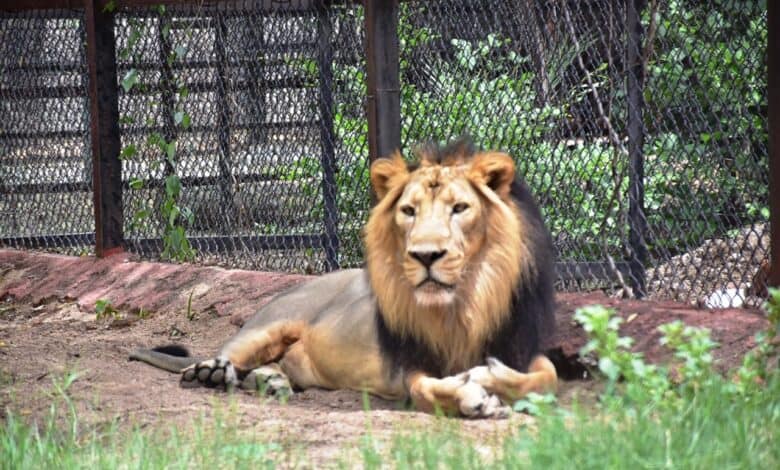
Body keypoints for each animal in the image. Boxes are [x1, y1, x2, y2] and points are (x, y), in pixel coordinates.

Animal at [130, 138, 557, 418]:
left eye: (460, 208)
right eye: (408, 211)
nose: (426, 255)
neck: (460, 306)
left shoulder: (524, 346)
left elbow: (546, 377)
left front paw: (488, 376)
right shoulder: (409, 366)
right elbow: (427, 390)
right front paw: (475, 396)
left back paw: (272, 382)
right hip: (262, 329)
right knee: (221, 362)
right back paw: (213, 373)